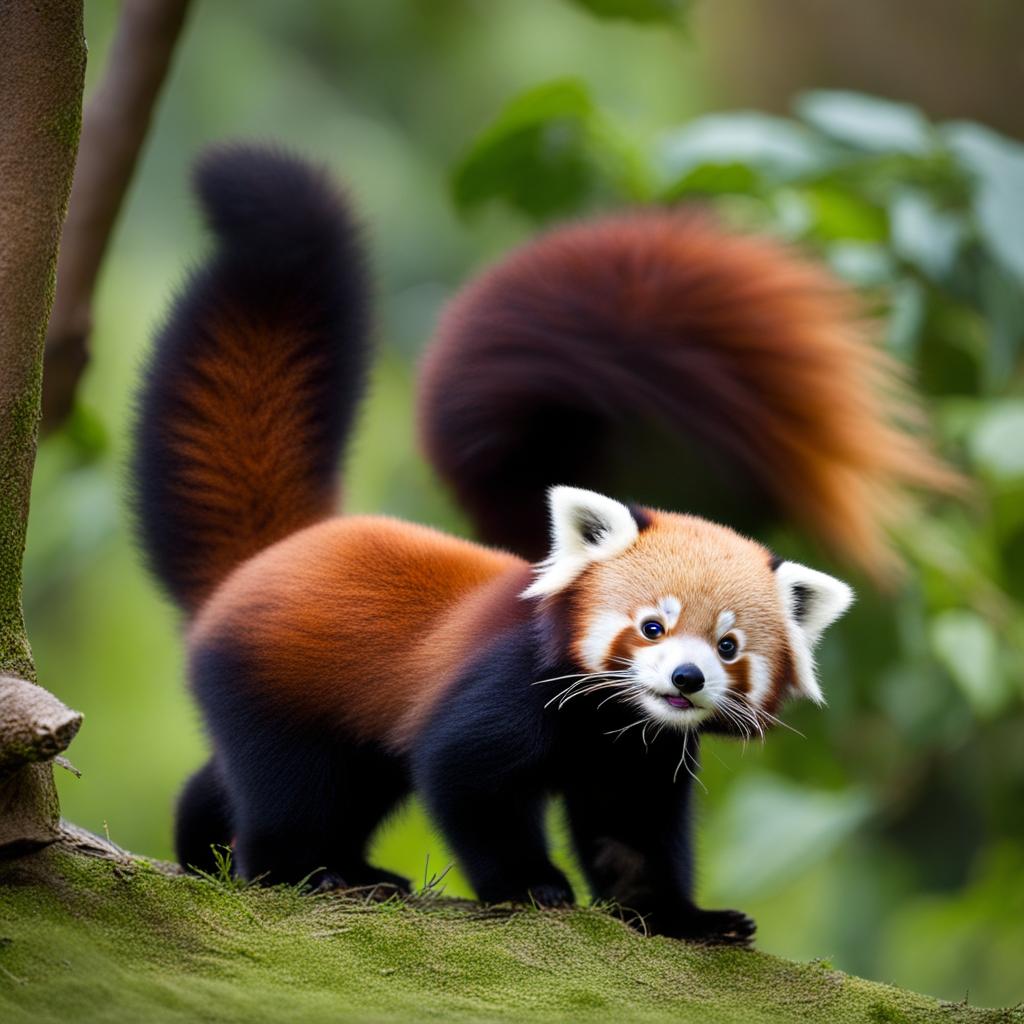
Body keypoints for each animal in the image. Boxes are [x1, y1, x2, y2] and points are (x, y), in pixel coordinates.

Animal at [134, 144, 950, 942]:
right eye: (651, 627)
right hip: (272, 684)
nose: (686, 678)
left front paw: (682, 917)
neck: (608, 723)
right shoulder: (501, 690)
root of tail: (274, 553)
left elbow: (632, 836)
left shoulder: (640, 756)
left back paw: (220, 848)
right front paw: (531, 885)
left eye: (728, 648)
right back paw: (305, 870)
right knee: (292, 787)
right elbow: (468, 783)